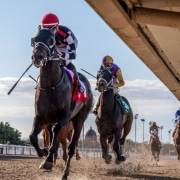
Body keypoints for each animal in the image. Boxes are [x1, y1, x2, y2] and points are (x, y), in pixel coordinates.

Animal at [29, 28, 93, 180]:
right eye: (35, 39)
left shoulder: (64, 117)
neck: (51, 85)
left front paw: (48, 160)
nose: (37, 57)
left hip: (79, 120)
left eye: (50, 39)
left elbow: (56, 135)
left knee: (71, 147)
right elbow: (33, 137)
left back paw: (65, 173)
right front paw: (43, 153)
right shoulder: (40, 116)